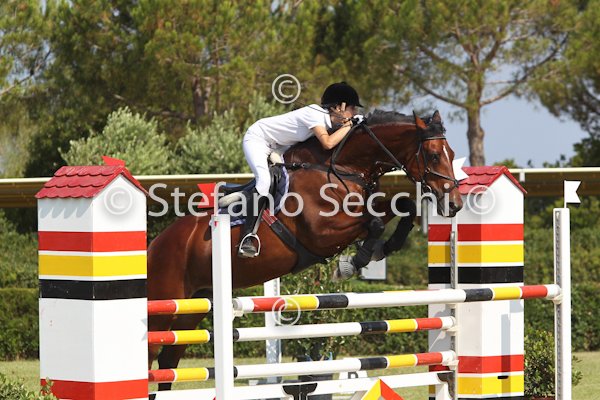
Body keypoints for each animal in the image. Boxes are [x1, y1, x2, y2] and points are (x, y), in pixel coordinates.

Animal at [147, 109, 463, 390]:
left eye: (451, 153)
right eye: (434, 155)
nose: (455, 204)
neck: (342, 168)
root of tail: (154, 245)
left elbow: (401, 207)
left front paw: (381, 249)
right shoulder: (322, 233)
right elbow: (372, 223)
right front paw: (351, 263)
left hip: (193, 307)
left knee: (168, 362)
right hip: (164, 306)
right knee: (151, 355)